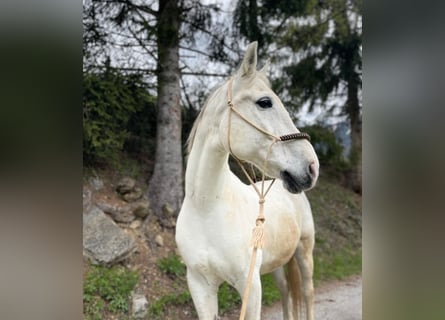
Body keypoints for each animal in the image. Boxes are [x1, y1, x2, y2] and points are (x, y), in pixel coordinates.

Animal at [175, 42, 318, 320]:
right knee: (286, 291)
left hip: (304, 251)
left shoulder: (249, 286)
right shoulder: (199, 286)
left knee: (307, 293)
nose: (312, 167)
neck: (206, 207)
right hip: (277, 263)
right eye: (264, 102)